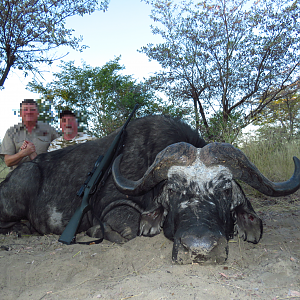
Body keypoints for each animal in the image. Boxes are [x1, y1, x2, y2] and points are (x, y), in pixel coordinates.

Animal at [0, 116, 300, 264]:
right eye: (173, 190)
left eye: (226, 190)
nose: (200, 248)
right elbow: (131, 229)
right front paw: (96, 231)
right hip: (22, 186)